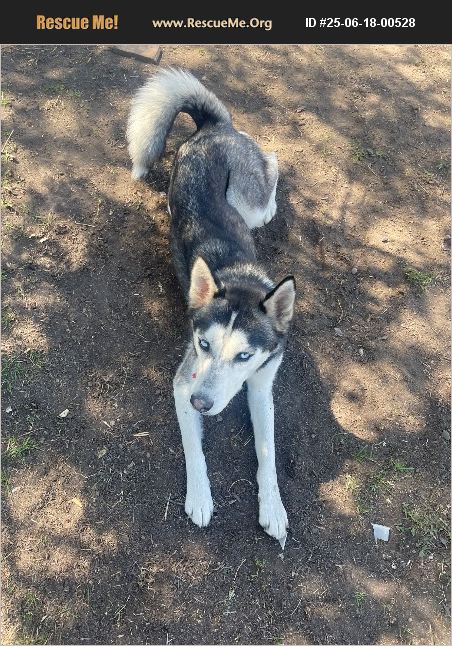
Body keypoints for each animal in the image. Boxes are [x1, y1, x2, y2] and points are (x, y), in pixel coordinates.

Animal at [127, 68, 295, 545]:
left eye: (244, 355)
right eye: (203, 344)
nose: (203, 403)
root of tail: (211, 128)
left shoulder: (263, 383)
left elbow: (268, 452)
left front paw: (272, 507)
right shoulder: (183, 382)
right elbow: (194, 450)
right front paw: (200, 497)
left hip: (246, 200)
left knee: (271, 161)